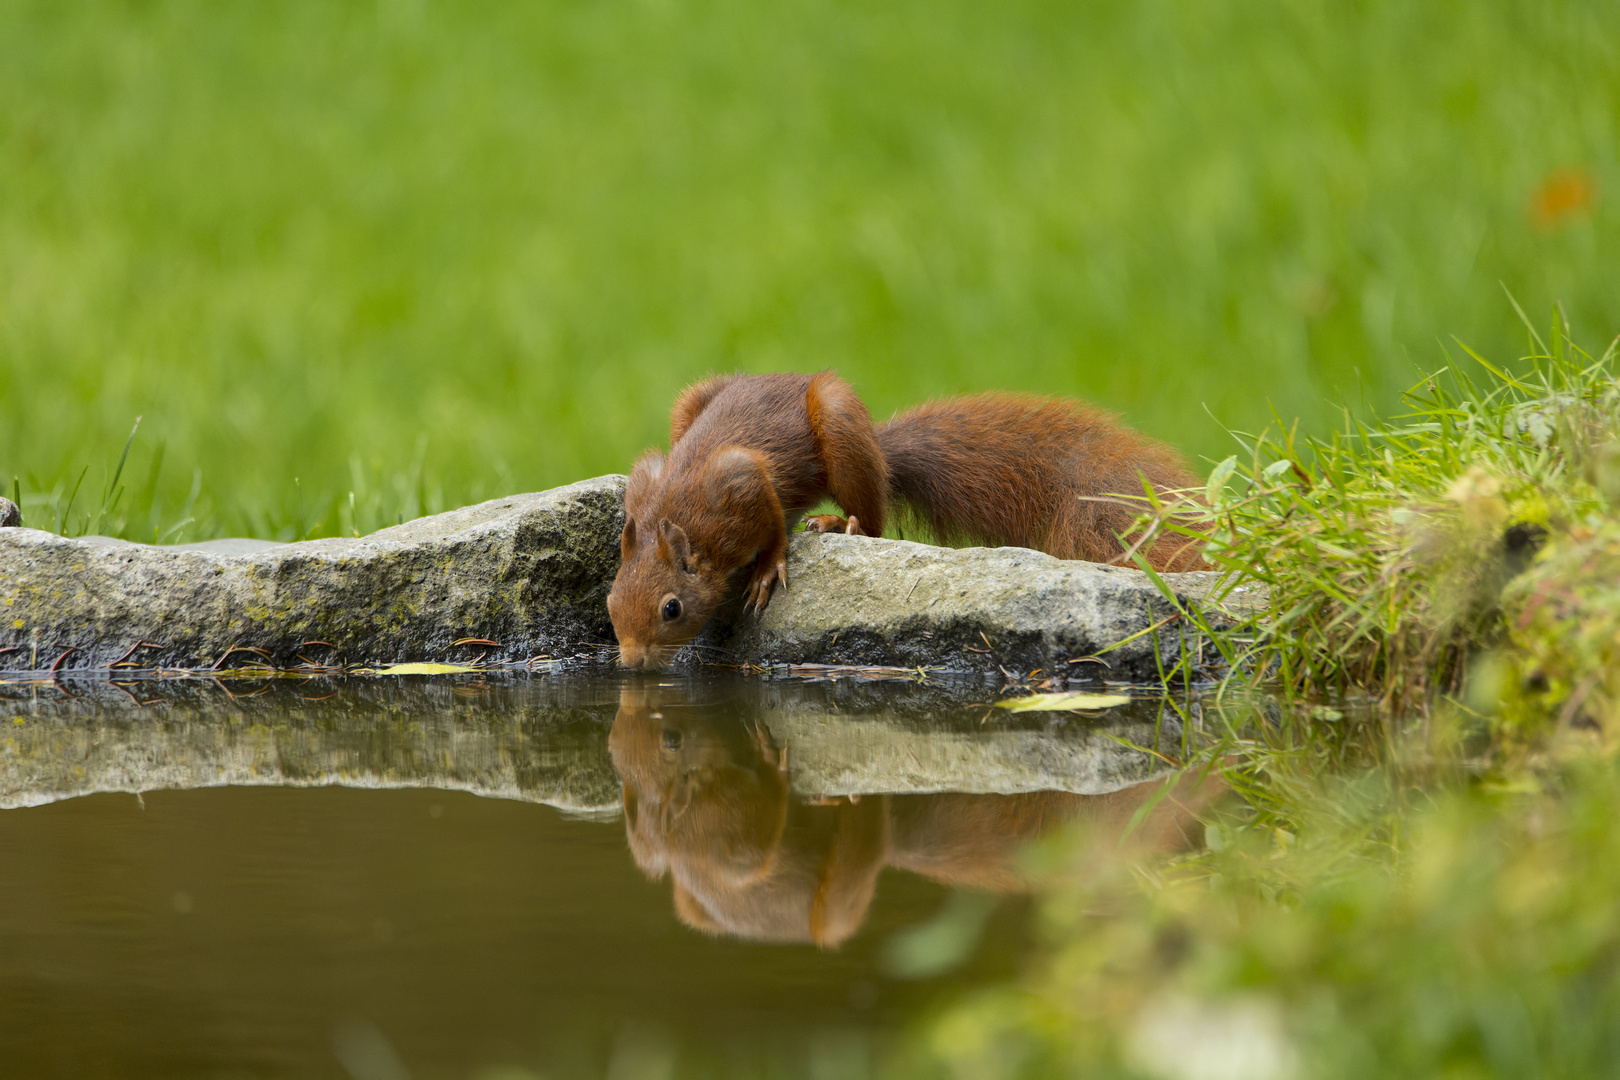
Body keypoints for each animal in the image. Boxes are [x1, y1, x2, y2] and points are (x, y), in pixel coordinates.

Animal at [609, 375, 1205, 670]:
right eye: (610, 604)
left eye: (671, 608)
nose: (631, 664)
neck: (674, 520)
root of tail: (879, 447)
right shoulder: (648, 479)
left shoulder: (739, 483)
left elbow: (773, 521)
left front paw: (766, 569)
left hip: (840, 428)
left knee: (873, 521)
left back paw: (838, 524)